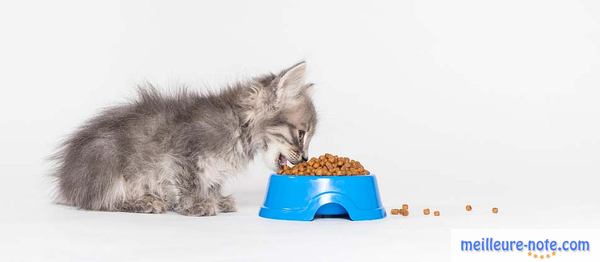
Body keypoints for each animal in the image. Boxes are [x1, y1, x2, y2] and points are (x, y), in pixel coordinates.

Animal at [50, 62, 318, 217]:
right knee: (100, 201)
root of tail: (67, 180)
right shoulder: (181, 152)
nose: (306, 157)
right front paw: (195, 205)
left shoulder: (212, 165)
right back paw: (145, 202)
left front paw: (216, 199)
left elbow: (212, 181)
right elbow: (190, 182)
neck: (238, 122)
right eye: (301, 134)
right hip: (106, 162)